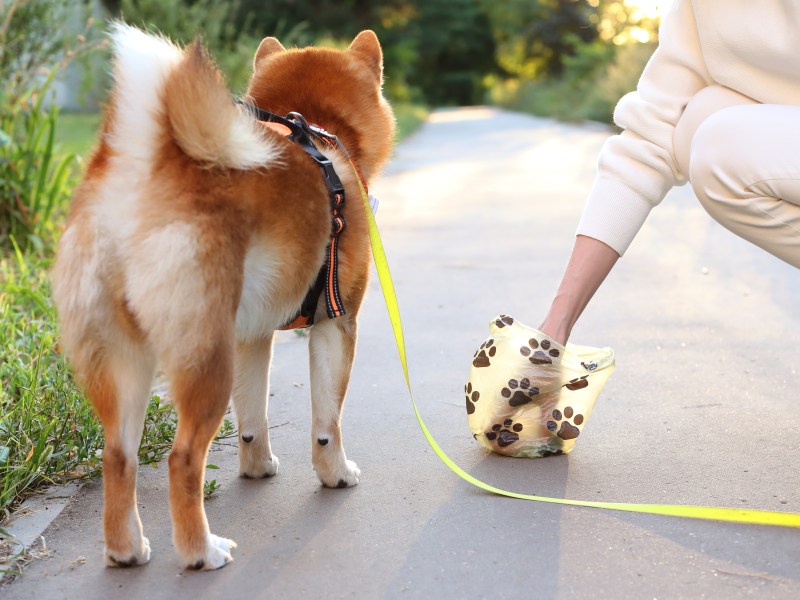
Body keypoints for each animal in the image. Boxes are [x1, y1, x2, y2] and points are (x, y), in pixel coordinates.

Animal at [51, 22, 396, 568]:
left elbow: (253, 419)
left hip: (125, 362)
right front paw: (335, 473)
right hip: (206, 360)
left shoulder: (252, 336)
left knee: (118, 457)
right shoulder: (336, 324)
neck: (317, 129)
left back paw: (128, 550)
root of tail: (143, 174)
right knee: (182, 459)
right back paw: (201, 550)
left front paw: (257, 466)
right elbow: (328, 421)